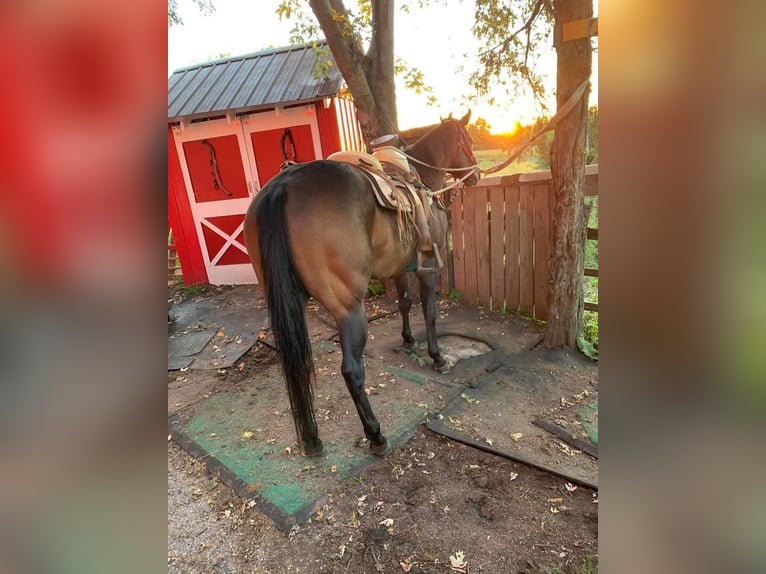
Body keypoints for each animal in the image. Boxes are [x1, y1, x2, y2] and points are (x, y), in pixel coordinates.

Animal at [243, 110, 479, 457]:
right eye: (468, 139)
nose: (476, 174)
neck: (421, 179)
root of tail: (282, 187)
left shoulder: (400, 267)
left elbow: (404, 302)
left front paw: (408, 340)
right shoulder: (427, 270)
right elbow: (430, 312)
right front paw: (437, 358)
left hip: (288, 303)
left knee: (295, 365)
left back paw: (312, 439)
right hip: (350, 308)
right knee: (351, 370)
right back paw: (375, 435)